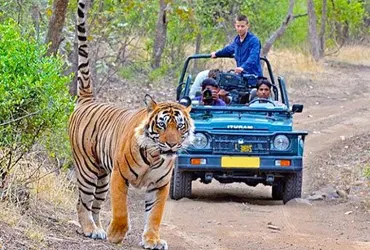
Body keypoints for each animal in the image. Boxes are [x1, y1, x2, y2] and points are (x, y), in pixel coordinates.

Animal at [69, 0, 195, 249]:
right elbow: (121, 210)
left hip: (102, 176)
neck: (155, 156)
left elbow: (154, 215)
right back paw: (89, 229)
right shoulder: (119, 176)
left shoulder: (160, 185)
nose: (172, 145)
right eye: (162, 125)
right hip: (87, 169)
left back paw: (98, 229)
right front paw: (117, 234)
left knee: (95, 204)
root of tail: (88, 99)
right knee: (83, 202)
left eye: (180, 127)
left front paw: (152, 240)